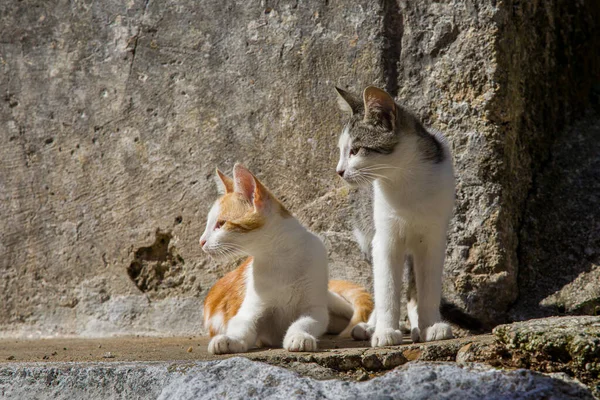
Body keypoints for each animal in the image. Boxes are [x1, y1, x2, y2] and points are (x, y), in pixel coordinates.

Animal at [199, 163, 372, 354]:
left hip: (330, 299)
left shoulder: (315, 309)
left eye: (221, 224)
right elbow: (242, 326)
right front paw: (230, 339)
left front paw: (299, 336)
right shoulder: (250, 311)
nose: (201, 241)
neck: (280, 258)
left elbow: (304, 322)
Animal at [336, 85, 458, 346]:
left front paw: (430, 325)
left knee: (413, 288)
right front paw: (384, 331)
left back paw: (417, 325)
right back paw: (370, 326)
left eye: (355, 150)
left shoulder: (434, 238)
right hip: (367, 232)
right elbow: (387, 289)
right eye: (342, 151)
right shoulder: (384, 239)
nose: (339, 171)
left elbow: (427, 287)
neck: (405, 179)